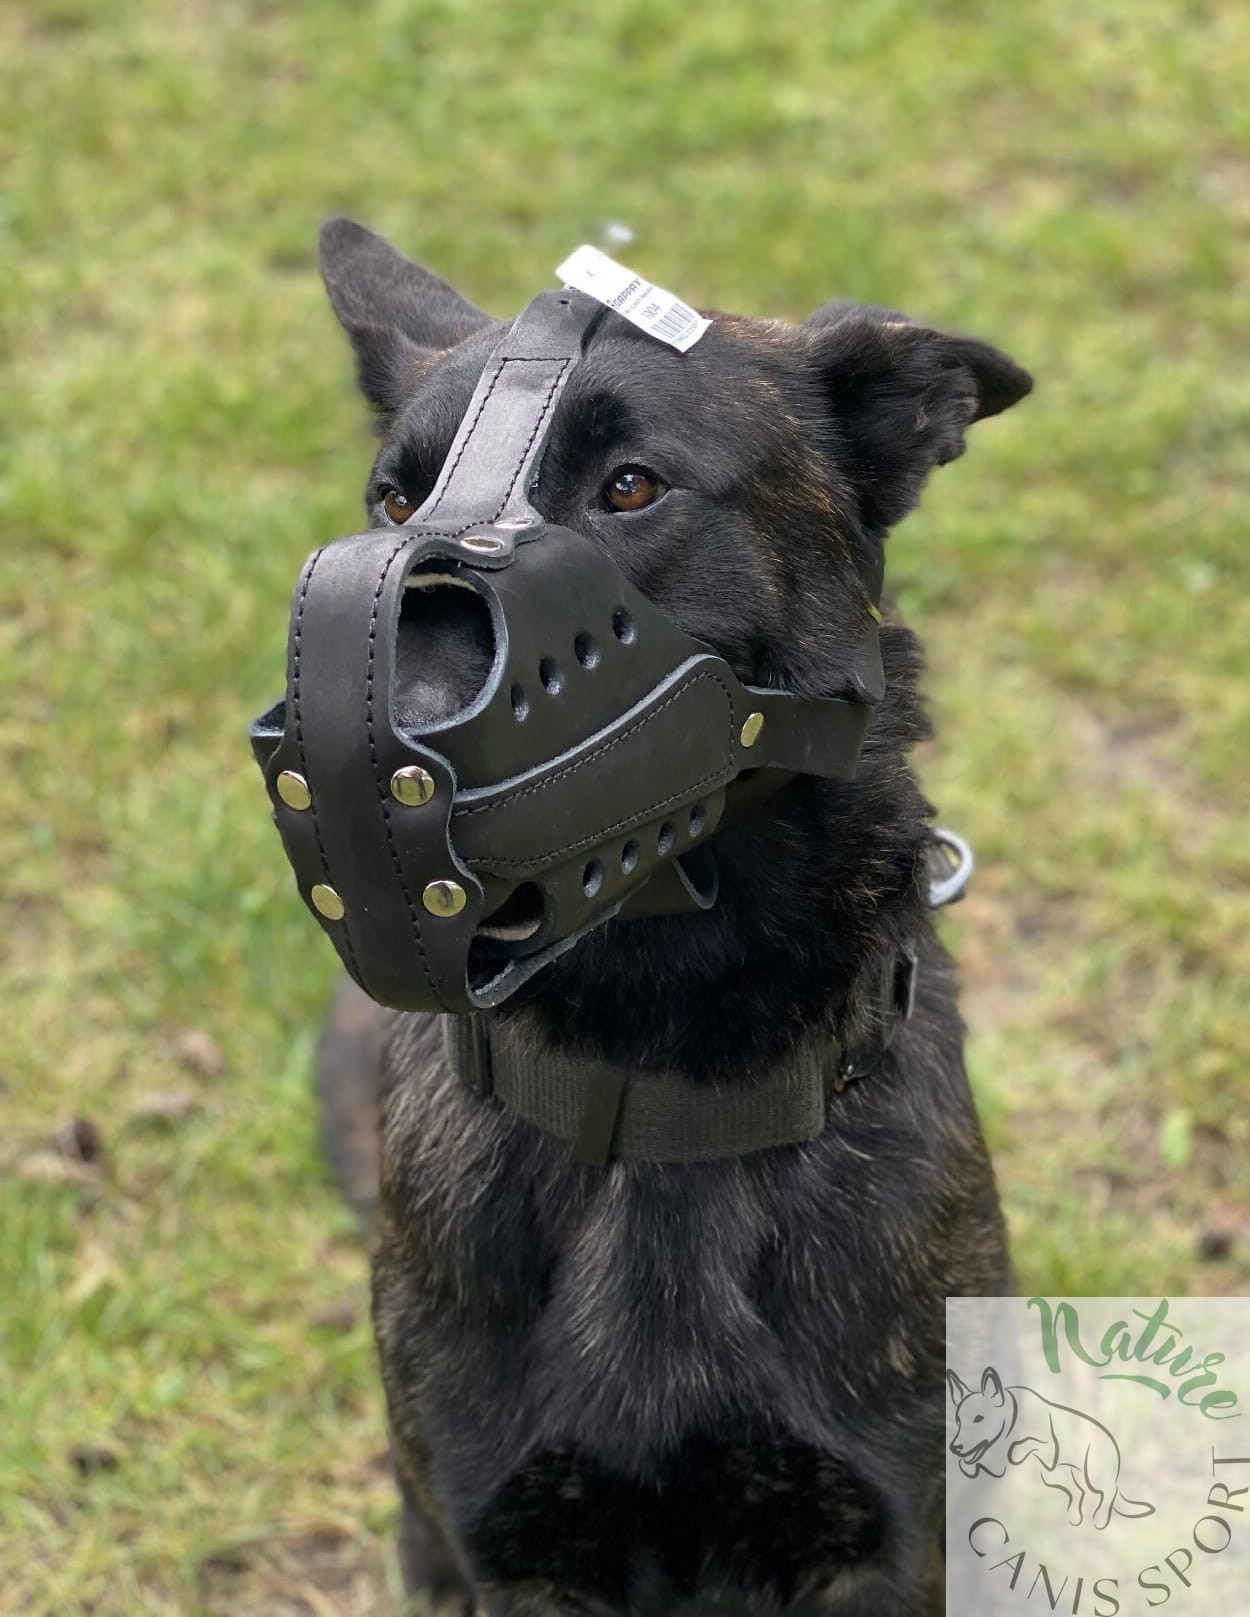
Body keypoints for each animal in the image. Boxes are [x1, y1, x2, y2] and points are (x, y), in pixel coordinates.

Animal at [309, 218, 1032, 1615]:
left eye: (630, 487)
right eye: (396, 502)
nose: (354, 750)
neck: (656, 1093)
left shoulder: (885, 1547)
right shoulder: (510, 1556)